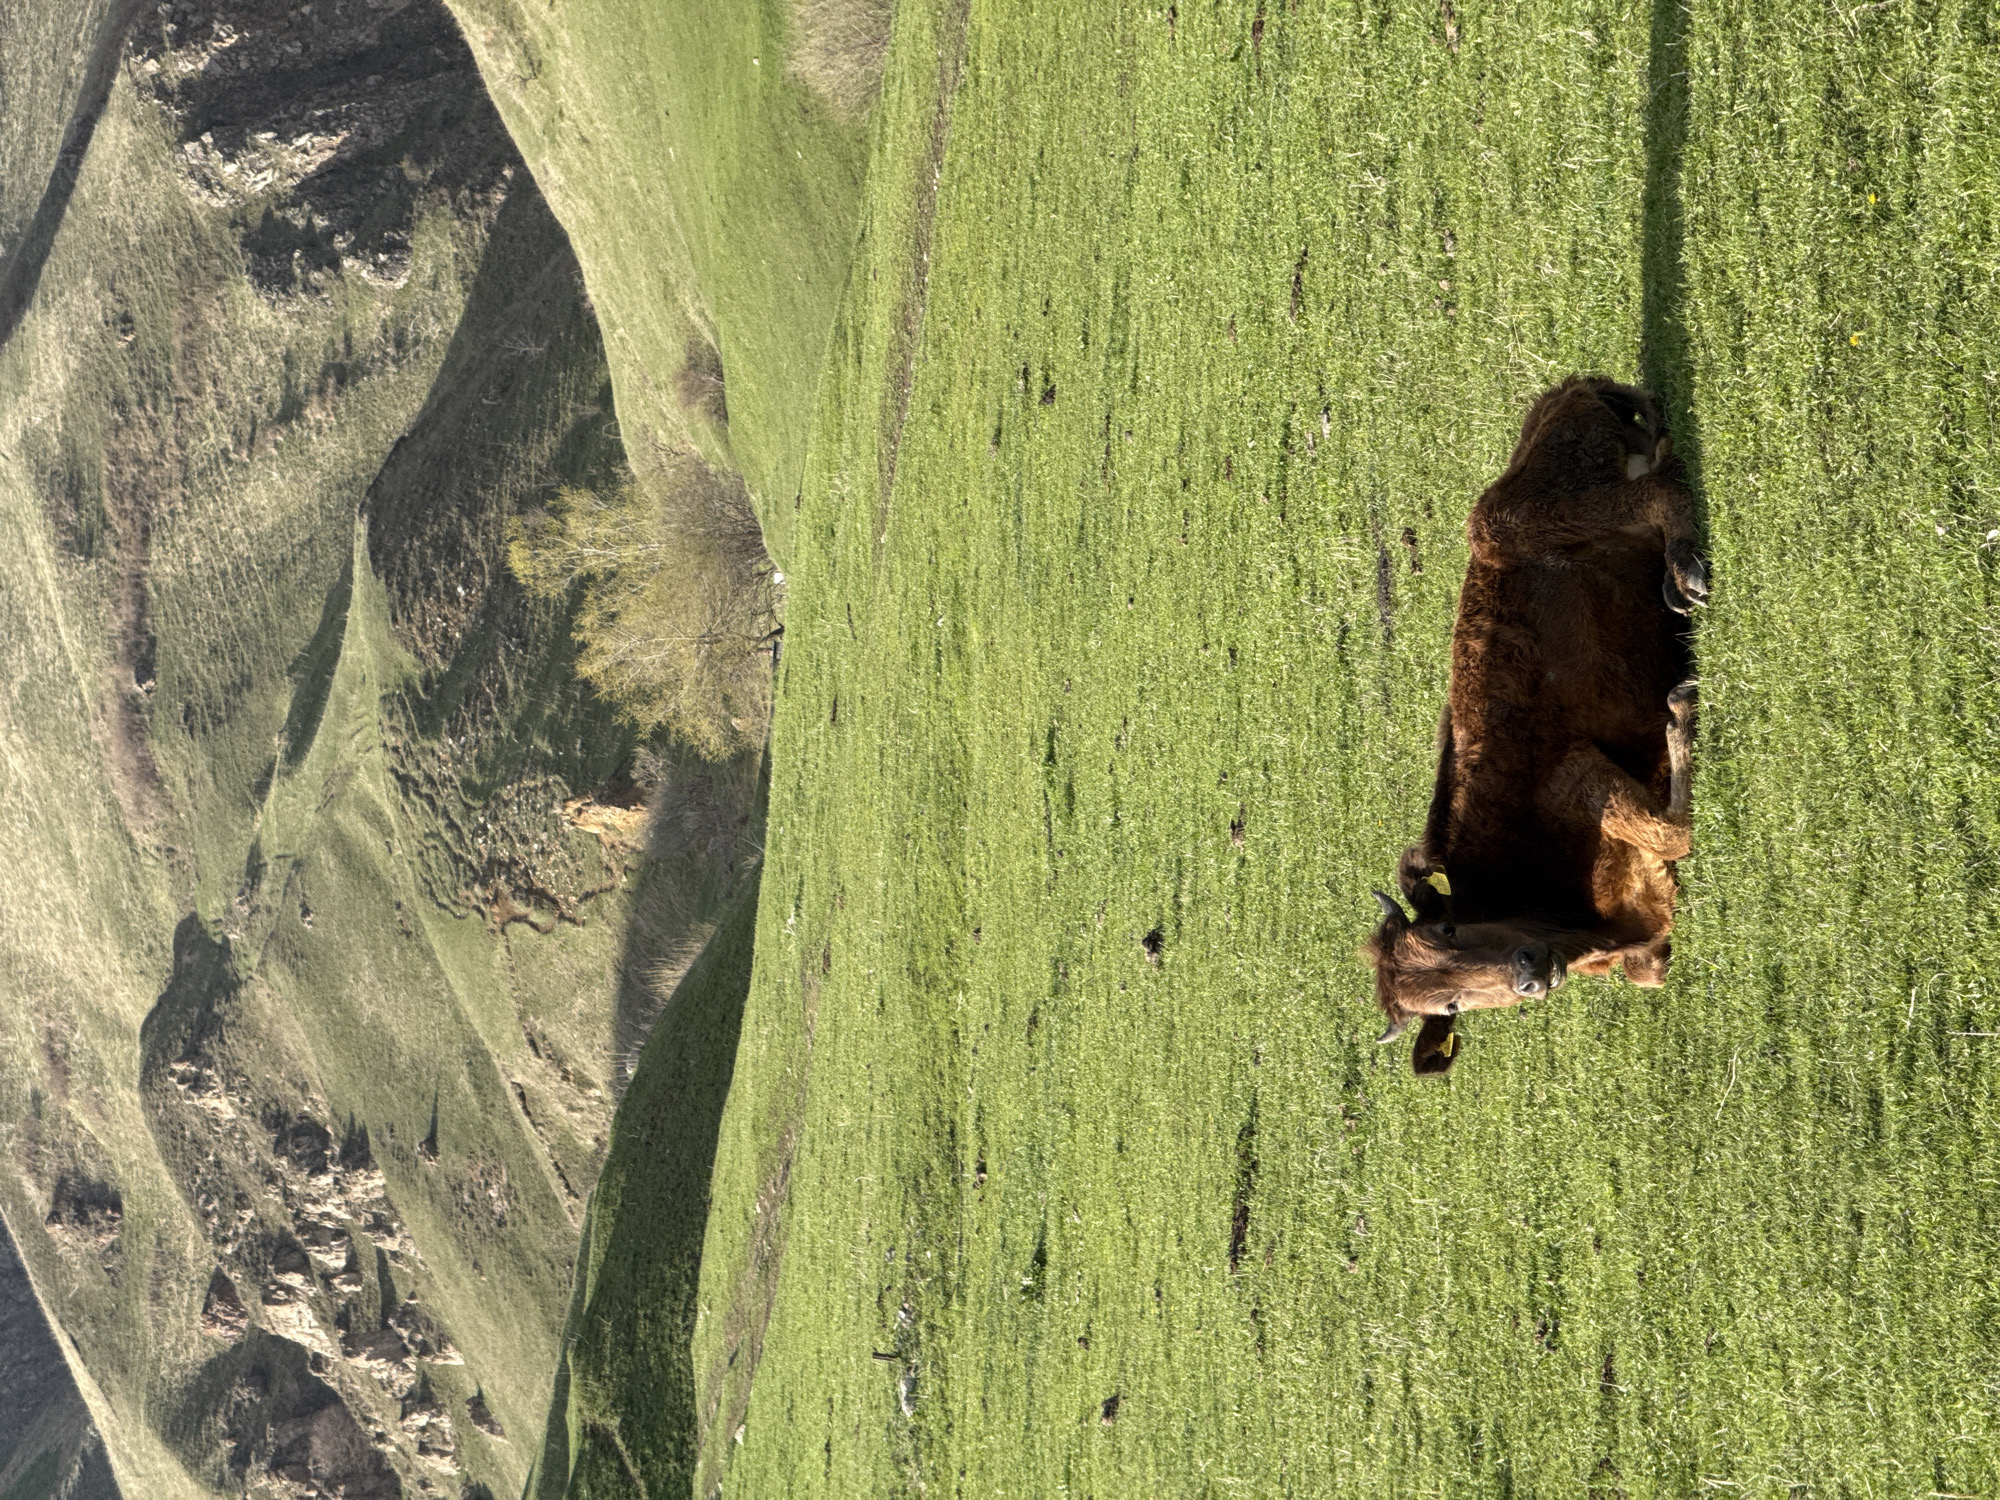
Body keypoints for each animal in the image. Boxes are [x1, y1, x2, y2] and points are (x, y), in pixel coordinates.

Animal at [1363, 376, 1708, 1075]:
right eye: (1449, 1005)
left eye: (1447, 929)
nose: (1527, 973)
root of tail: (1565, 393)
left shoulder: (1573, 774)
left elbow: (1671, 833)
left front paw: (1680, 712)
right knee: (1662, 468)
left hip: (1532, 517)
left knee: (1661, 490)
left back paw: (1684, 573)